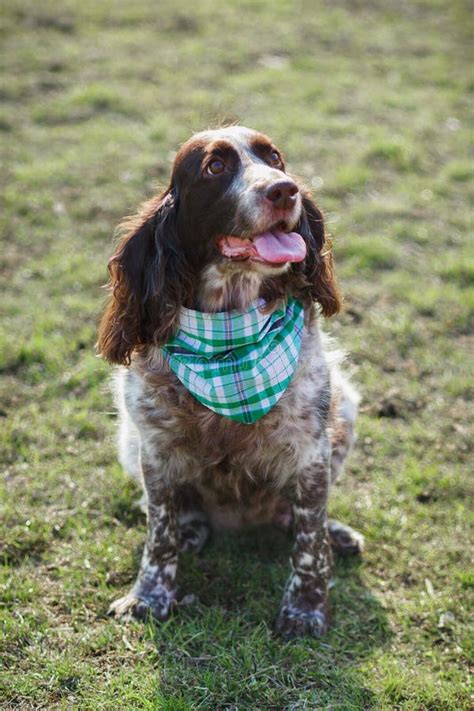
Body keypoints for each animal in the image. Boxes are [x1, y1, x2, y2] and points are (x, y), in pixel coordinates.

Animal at [97, 124, 362, 640]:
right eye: (215, 167)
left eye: (274, 158)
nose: (285, 190)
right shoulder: (154, 449)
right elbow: (159, 533)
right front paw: (149, 596)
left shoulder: (311, 450)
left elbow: (309, 541)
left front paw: (306, 608)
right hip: (128, 442)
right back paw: (192, 529)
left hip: (345, 408)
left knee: (298, 518)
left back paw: (335, 534)